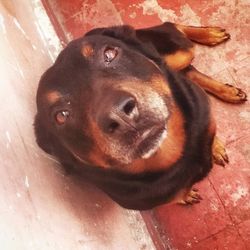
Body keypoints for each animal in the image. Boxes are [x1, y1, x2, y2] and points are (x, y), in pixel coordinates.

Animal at [34, 22, 247, 210]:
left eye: (109, 53)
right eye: (61, 116)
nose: (119, 115)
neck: (175, 158)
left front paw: (214, 145)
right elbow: (178, 195)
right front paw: (186, 196)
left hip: (179, 52)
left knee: (172, 28)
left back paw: (210, 35)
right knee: (189, 71)